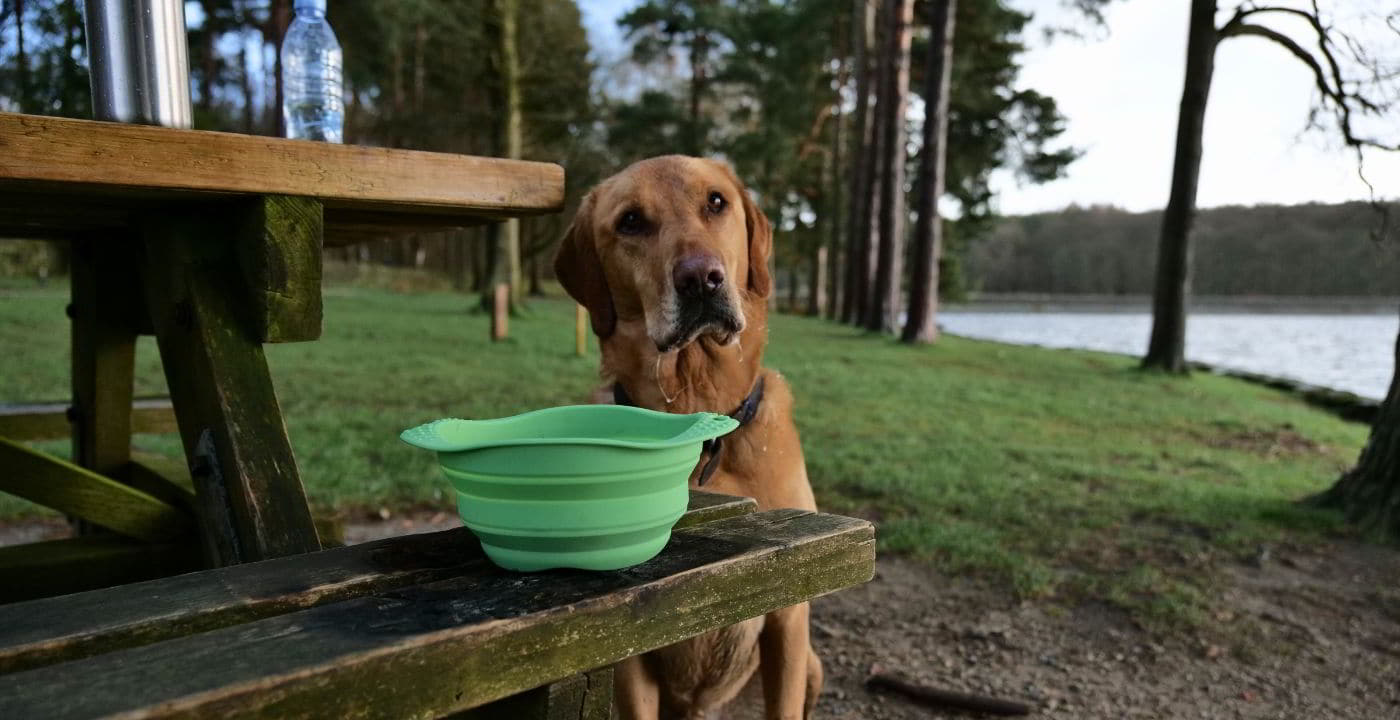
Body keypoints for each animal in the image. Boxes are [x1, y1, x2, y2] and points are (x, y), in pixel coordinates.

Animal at [554, 154, 817, 714]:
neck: (700, 406)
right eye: (631, 221)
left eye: (716, 201)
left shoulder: (789, 617)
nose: (701, 279)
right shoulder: (628, 656)